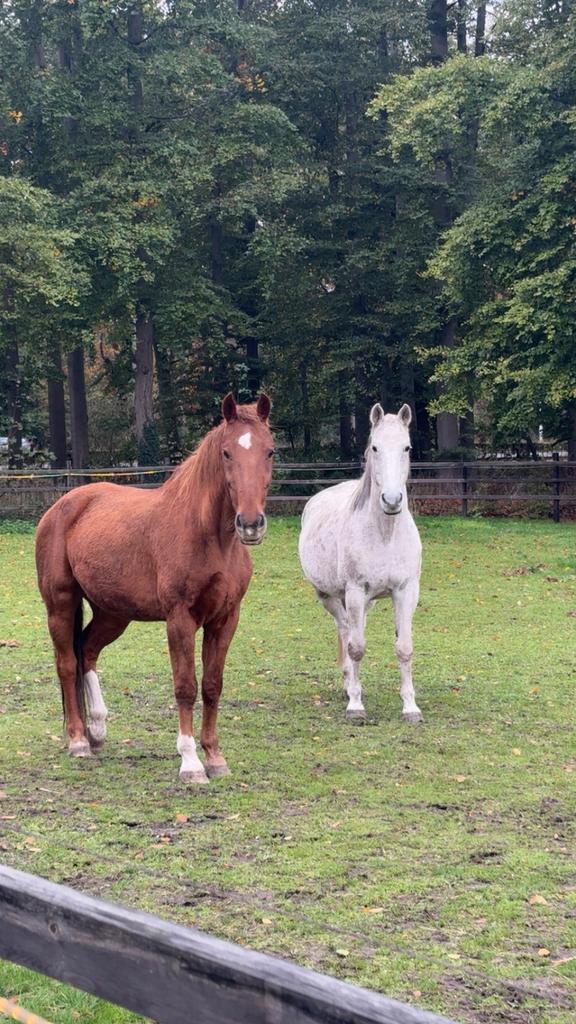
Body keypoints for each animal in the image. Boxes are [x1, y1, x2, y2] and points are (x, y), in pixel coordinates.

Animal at [35, 393, 274, 784]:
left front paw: (215, 758)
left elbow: (212, 686)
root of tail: (62, 506)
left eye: (269, 451)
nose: (251, 524)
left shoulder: (225, 619)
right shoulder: (180, 620)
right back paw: (78, 740)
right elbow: (185, 686)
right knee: (67, 663)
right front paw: (191, 763)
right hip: (60, 604)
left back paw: (97, 729)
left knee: (87, 650)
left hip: (113, 613)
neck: (208, 536)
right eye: (226, 453)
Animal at [298, 402, 422, 724]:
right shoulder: (355, 590)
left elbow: (404, 648)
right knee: (345, 630)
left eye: (407, 447)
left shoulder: (405, 591)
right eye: (375, 447)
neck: (385, 534)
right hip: (330, 596)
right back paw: (348, 686)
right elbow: (356, 648)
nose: (391, 500)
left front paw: (411, 707)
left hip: (368, 602)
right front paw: (356, 705)